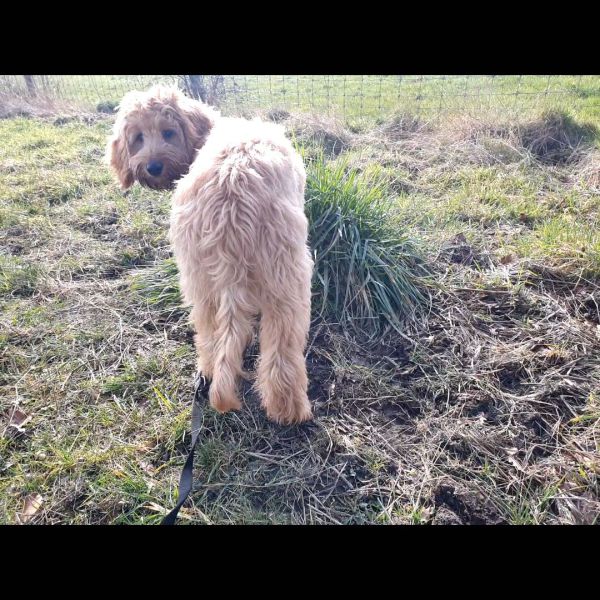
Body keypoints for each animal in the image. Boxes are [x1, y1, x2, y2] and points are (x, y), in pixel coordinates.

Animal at [106, 84, 314, 424]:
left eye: (168, 132)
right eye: (138, 137)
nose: (152, 167)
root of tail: (229, 203)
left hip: (198, 278)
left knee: (211, 335)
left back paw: (210, 373)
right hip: (286, 273)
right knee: (283, 345)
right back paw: (289, 411)